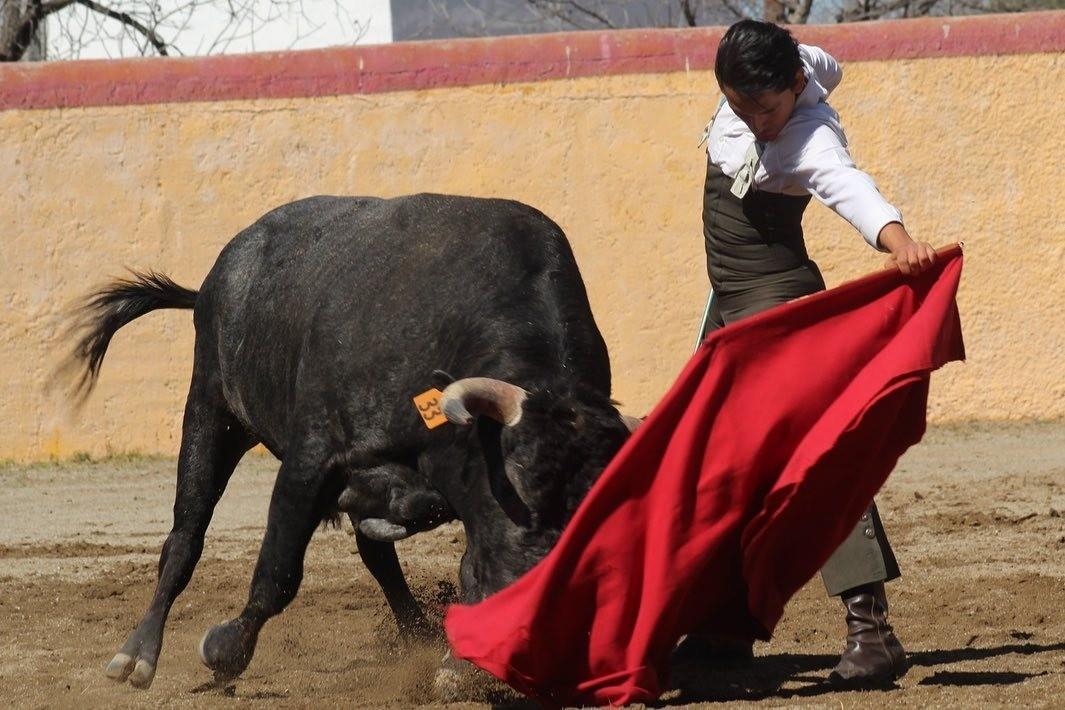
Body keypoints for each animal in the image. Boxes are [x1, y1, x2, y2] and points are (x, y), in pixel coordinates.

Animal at [68, 192, 639, 689]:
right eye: (519, 481)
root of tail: (222, 271)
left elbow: (444, 546)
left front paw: (455, 664)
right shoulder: (313, 458)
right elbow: (278, 570)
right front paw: (225, 648)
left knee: (376, 552)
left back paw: (417, 629)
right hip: (211, 411)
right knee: (185, 537)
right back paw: (136, 656)